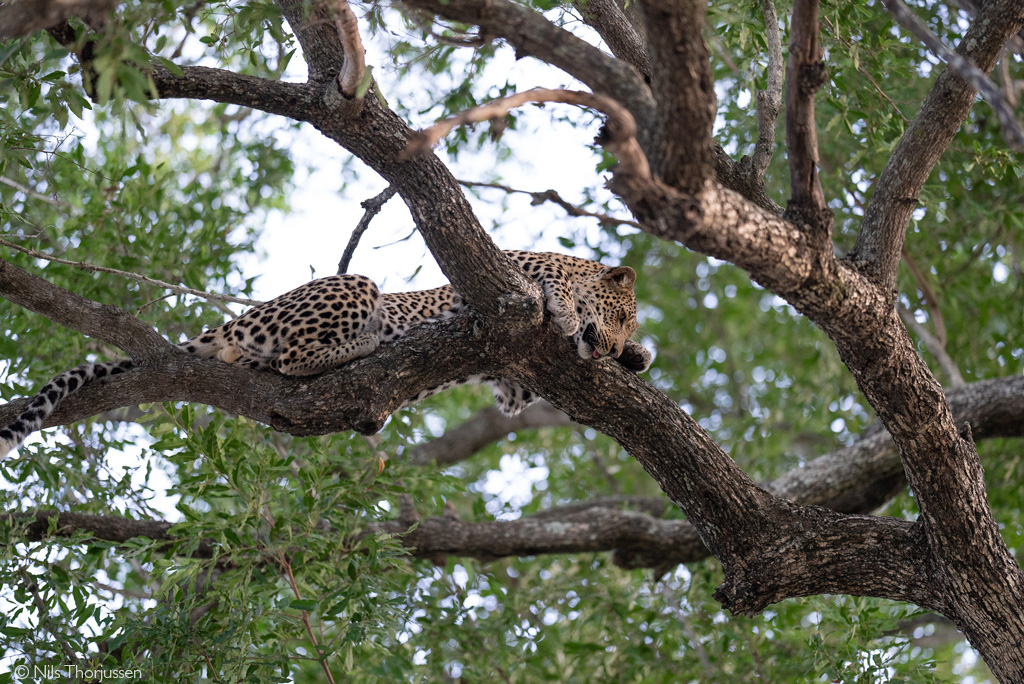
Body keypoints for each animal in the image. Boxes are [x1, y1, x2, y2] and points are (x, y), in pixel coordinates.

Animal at [0, 248, 651, 456]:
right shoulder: (505, 277)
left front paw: (636, 358)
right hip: (352, 285)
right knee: (295, 356)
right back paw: (374, 340)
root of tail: (236, 321)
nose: (613, 343)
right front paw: (570, 314)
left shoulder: (512, 387)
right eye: (619, 315)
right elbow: (550, 291)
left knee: (277, 363)